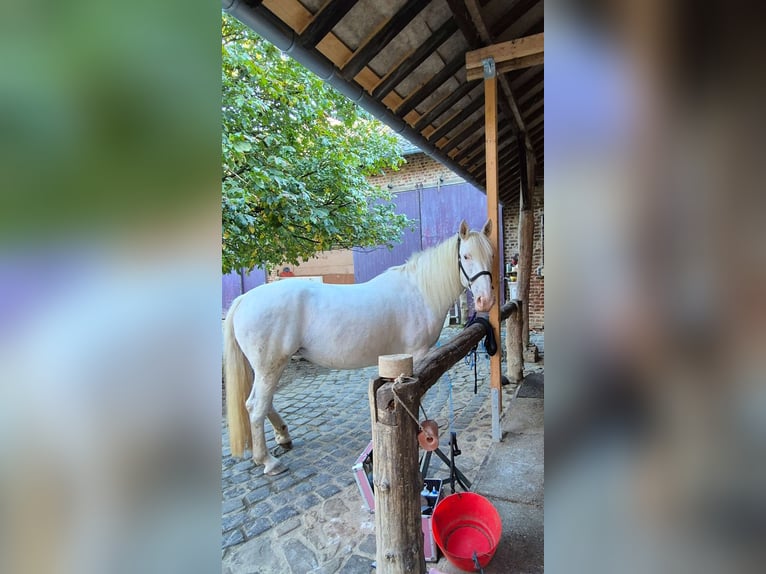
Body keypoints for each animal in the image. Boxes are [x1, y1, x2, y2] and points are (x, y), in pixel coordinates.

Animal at [222, 220, 498, 476]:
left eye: (491, 255)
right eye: (466, 256)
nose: (485, 300)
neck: (419, 291)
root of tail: (244, 299)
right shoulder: (417, 356)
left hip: (266, 368)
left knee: (264, 403)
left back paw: (283, 437)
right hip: (270, 366)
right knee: (255, 407)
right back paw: (268, 461)